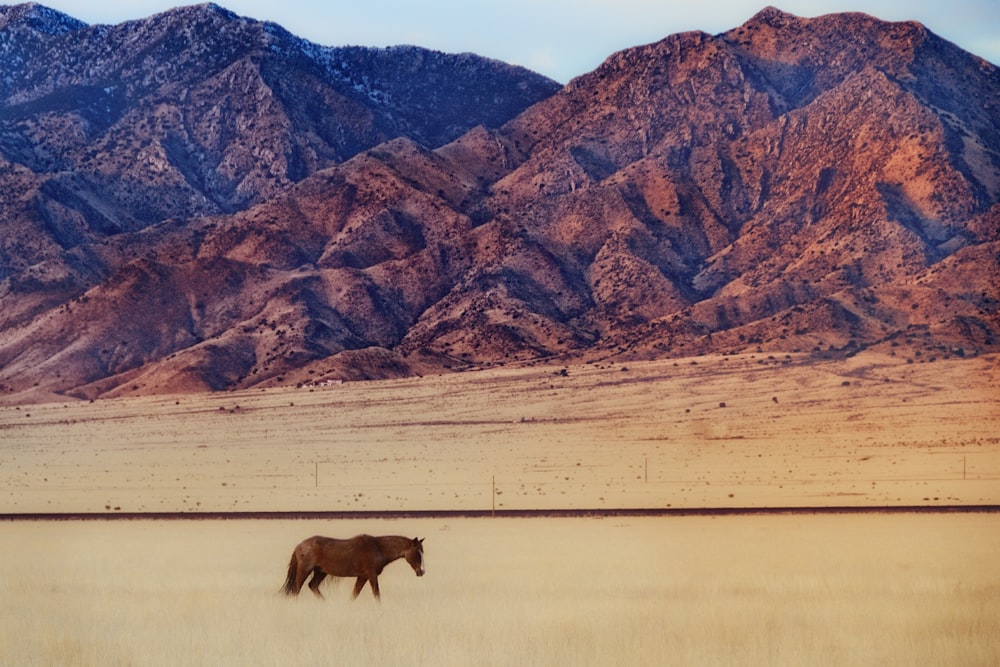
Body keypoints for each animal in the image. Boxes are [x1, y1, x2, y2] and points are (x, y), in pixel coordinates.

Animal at [280, 536, 424, 604]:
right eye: (418, 552)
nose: (422, 571)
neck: (378, 547)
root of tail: (299, 546)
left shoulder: (363, 577)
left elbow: (354, 594)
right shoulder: (371, 576)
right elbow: (376, 594)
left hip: (321, 572)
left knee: (312, 586)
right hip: (305, 571)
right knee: (296, 590)